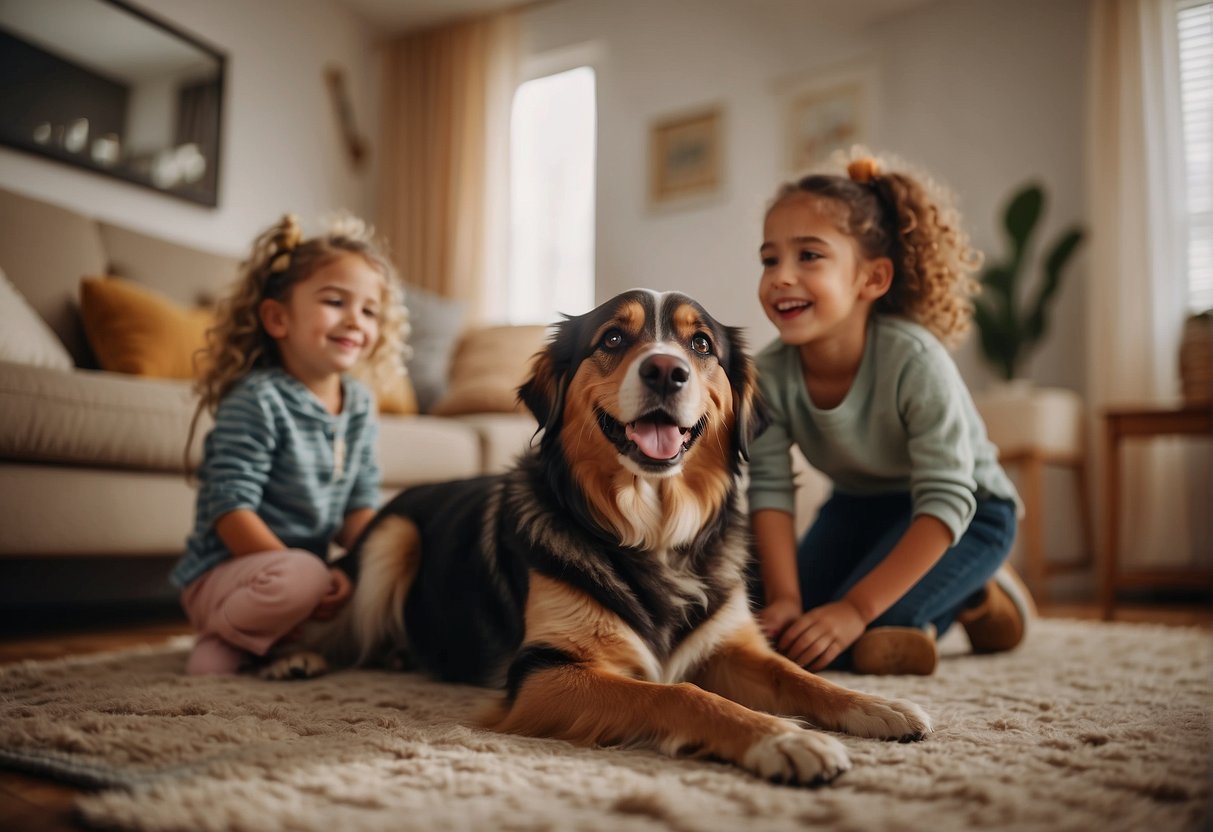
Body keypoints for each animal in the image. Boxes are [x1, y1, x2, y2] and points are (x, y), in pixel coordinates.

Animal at [281, 289, 926, 785]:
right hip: (395, 541)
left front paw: (877, 704)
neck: (653, 528)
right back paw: (296, 658)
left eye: (701, 346)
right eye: (614, 339)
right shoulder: (545, 672)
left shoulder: (728, 645)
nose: (666, 370)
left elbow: (796, 674)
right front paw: (784, 740)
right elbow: (678, 693)